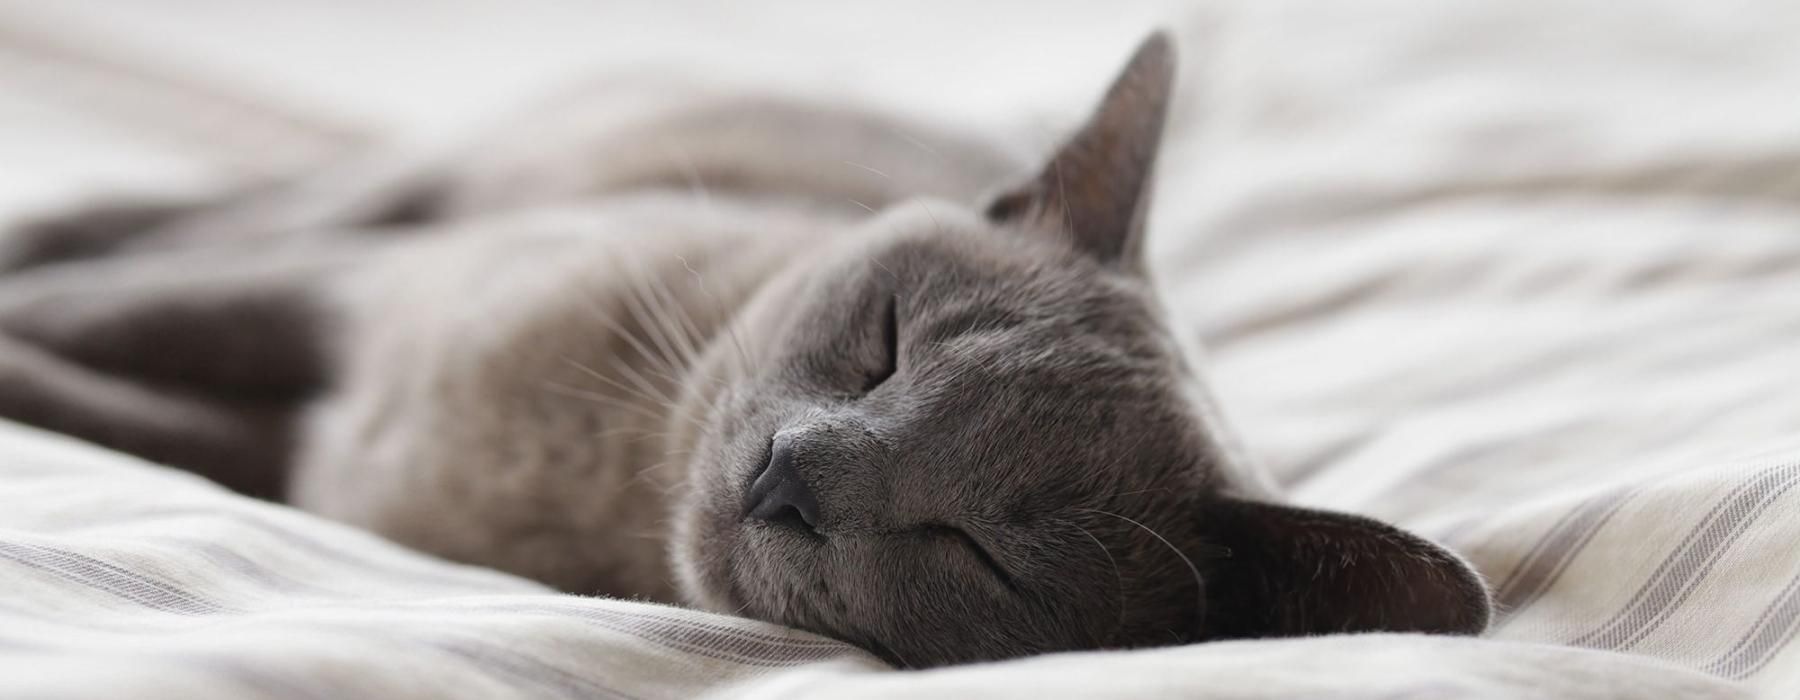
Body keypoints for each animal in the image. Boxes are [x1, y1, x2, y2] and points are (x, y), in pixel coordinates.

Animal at [0, 34, 1490, 665]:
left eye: (981, 551)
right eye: (884, 342)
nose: (789, 477)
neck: (597, 480)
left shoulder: (293, 451)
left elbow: (110, 406)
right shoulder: (348, 299)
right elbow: (109, 317)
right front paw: (26, 308)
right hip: (426, 189)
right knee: (214, 212)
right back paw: (48, 221)